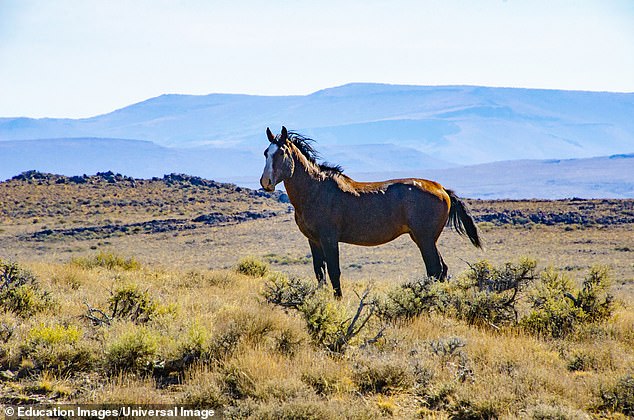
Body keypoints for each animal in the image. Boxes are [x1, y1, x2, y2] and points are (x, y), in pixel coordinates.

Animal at [256, 126, 478, 296]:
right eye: (266, 153)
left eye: (281, 153)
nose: (266, 182)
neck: (315, 190)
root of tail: (442, 189)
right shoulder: (314, 240)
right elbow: (320, 273)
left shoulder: (329, 239)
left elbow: (334, 272)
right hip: (423, 238)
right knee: (441, 269)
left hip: (425, 239)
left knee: (435, 269)